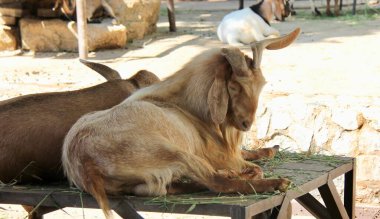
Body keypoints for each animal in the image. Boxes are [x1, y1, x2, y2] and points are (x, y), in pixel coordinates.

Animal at [61, 27, 300, 217]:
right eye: (234, 86)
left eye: (260, 84)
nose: (246, 124)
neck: (189, 109)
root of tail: (86, 163)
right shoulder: (219, 156)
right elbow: (252, 167)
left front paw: (271, 149)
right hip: (174, 153)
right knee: (217, 183)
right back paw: (277, 182)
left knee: (170, 188)